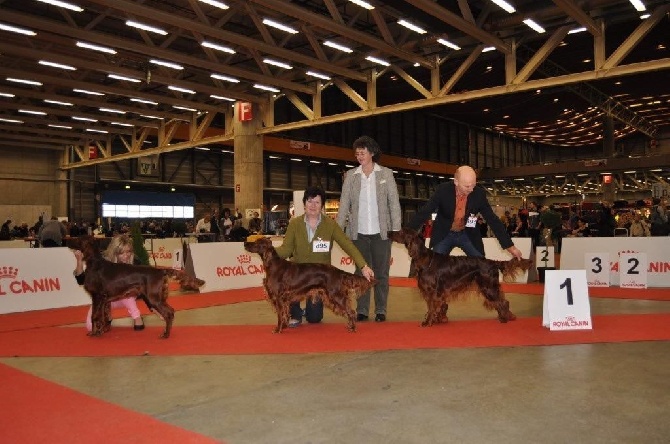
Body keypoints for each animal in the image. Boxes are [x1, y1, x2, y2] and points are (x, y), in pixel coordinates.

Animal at [68, 236, 206, 336]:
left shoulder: (97, 296)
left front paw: (93, 333)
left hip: (153, 298)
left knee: (169, 313)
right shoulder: (104, 300)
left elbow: (94, 316)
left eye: (78, 239)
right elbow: (104, 316)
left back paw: (165, 334)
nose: (66, 239)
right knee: (171, 311)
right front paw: (103, 330)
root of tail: (160, 270)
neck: (94, 262)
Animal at [244, 238, 378, 332]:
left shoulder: (278, 297)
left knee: (351, 311)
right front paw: (285, 326)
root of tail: (337, 271)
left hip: (335, 295)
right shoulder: (284, 299)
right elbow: (285, 313)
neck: (272, 265)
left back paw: (353, 328)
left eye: (256, 242)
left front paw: (278, 329)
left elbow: (280, 315)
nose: (245, 243)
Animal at [392, 229, 532, 326]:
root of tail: (493, 262)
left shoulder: (432, 291)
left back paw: (504, 318)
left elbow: (431, 308)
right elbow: (434, 307)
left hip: (488, 287)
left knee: (502, 301)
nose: (389, 233)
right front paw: (435, 320)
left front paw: (427, 322)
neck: (425, 259)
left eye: (401, 231)